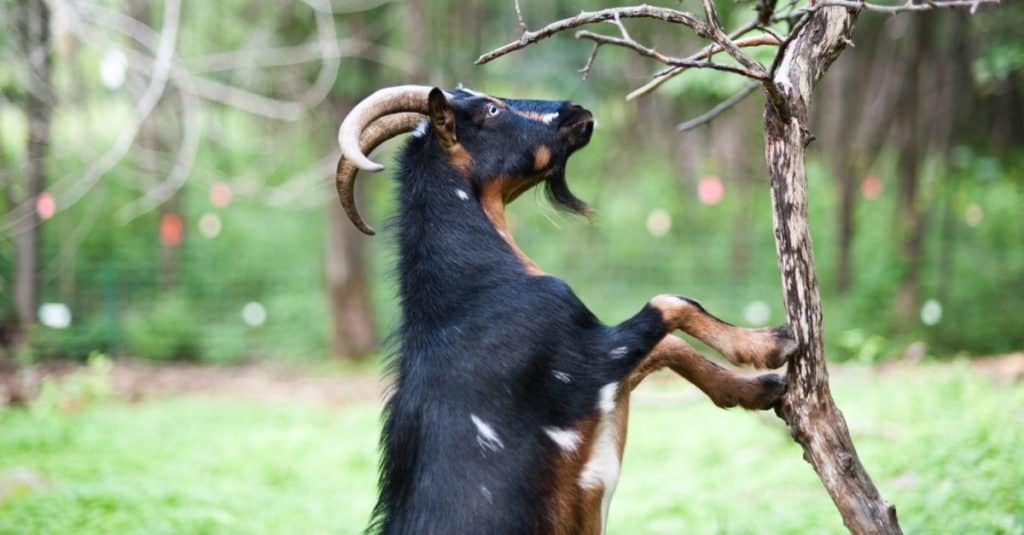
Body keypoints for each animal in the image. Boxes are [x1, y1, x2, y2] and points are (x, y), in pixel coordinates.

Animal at [335, 85, 798, 532]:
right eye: (491, 110)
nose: (575, 110)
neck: (471, 289)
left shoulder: (600, 380)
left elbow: (668, 346)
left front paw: (754, 389)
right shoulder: (583, 359)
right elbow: (670, 305)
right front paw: (770, 345)